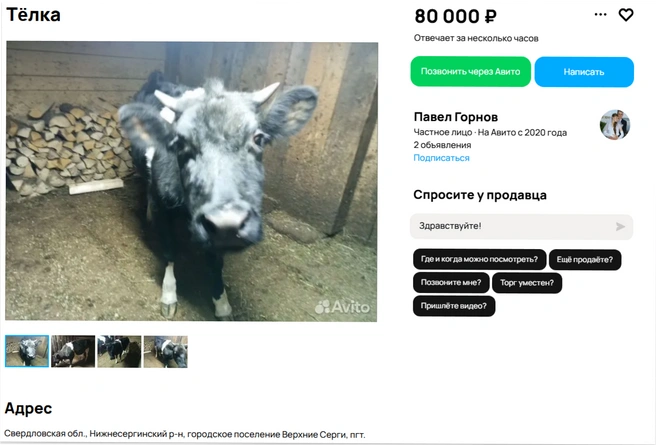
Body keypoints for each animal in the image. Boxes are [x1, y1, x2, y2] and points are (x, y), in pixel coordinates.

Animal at [118, 70, 319, 320]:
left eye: (258, 138)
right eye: (180, 144)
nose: (229, 221)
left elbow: (215, 264)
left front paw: (222, 304)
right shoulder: (164, 208)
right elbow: (169, 251)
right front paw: (169, 294)